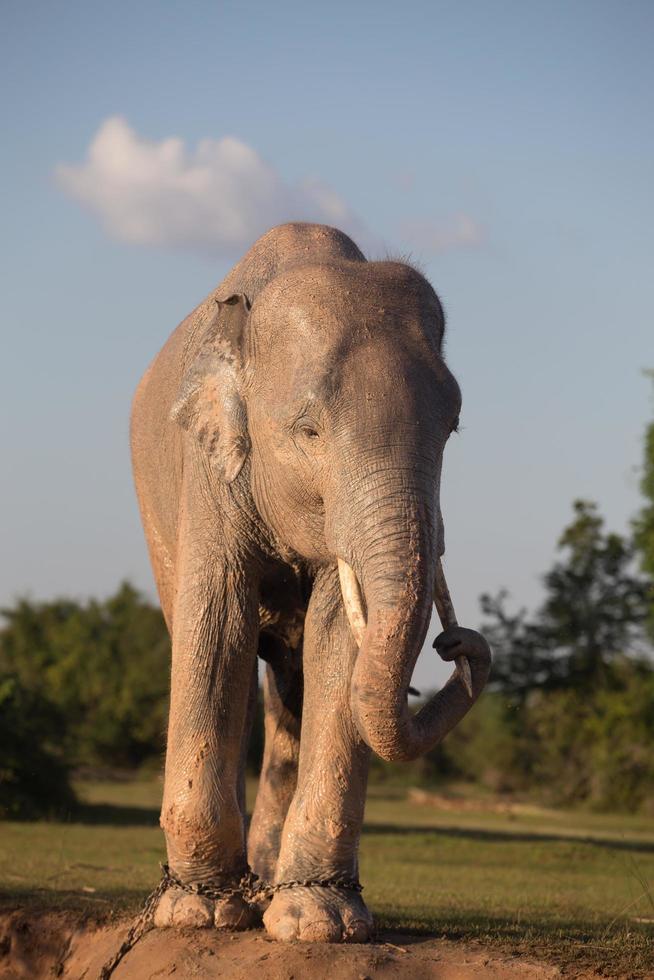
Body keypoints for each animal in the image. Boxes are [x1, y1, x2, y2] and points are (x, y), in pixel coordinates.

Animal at [131, 222, 492, 940]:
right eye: (308, 430)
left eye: (452, 427)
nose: (457, 644)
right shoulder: (209, 466)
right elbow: (216, 624)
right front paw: (199, 913)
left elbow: (337, 638)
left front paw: (319, 923)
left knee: (290, 688)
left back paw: (271, 885)